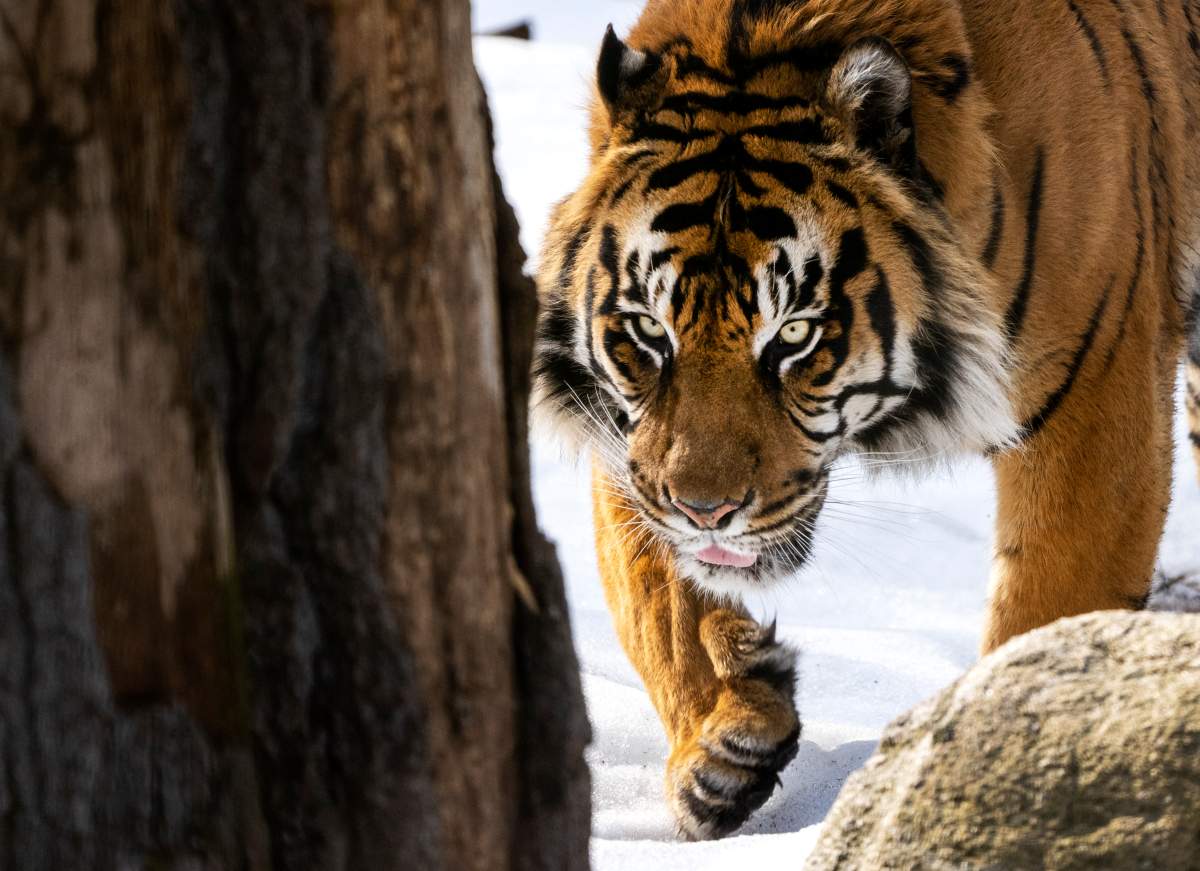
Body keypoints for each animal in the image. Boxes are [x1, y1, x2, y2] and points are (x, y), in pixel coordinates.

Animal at [531, 0, 1200, 840]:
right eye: (650, 331)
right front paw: (722, 733)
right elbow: (652, 596)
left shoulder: (1093, 404)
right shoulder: (628, 435)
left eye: (793, 335)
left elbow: (1043, 619)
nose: (706, 510)